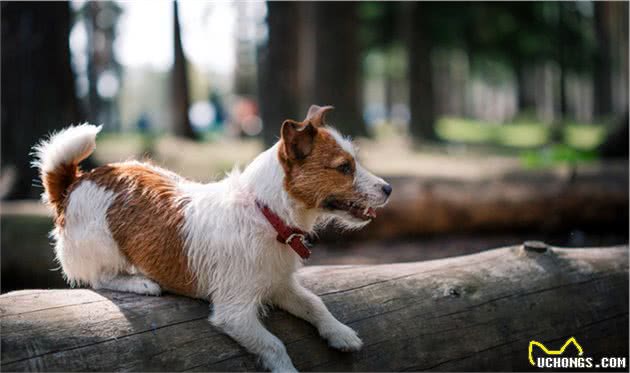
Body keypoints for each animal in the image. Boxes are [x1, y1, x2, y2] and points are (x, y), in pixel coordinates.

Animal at [34, 104, 392, 370]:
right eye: (344, 168)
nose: (389, 188)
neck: (265, 212)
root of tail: (74, 183)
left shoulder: (278, 284)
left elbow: (315, 304)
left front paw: (340, 333)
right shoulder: (235, 313)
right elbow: (273, 345)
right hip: (102, 244)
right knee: (98, 278)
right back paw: (140, 282)